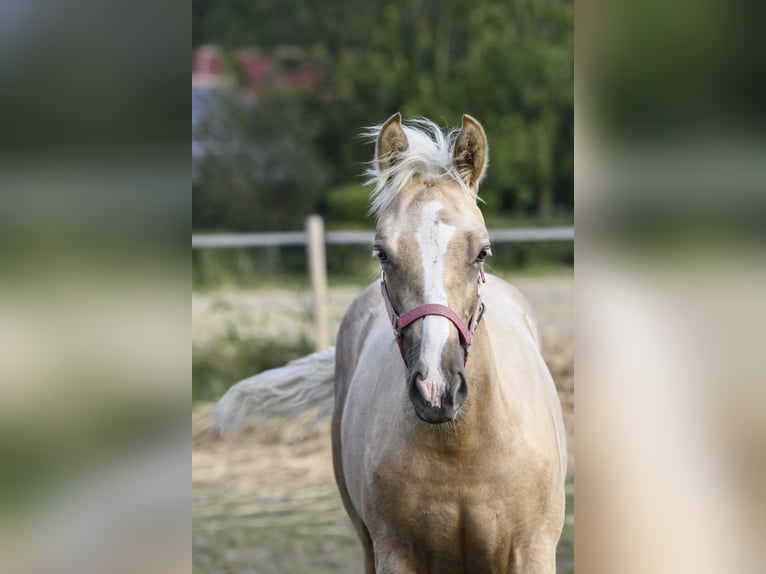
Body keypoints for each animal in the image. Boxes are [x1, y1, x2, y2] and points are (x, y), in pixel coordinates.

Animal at [213, 113, 568, 574]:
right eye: (382, 253)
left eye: (482, 252)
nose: (436, 389)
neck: (460, 449)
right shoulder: (395, 555)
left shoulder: (533, 552)